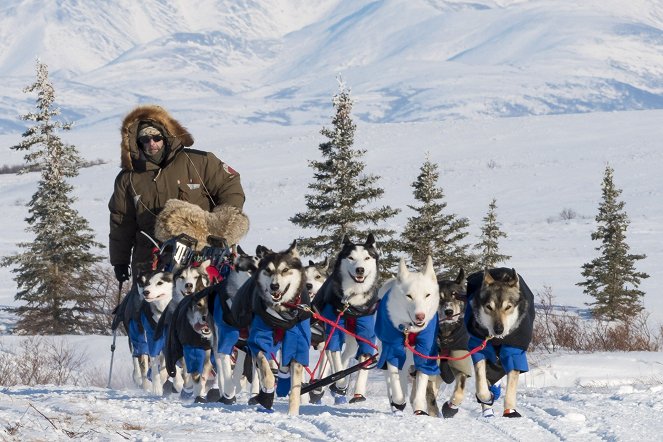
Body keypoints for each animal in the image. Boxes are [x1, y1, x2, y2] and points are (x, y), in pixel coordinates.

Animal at [316, 235, 382, 404]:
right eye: (351, 257)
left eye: (367, 257)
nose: (360, 269)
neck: (351, 302)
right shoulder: (333, 330)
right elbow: (336, 362)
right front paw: (340, 384)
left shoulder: (366, 334)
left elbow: (364, 361)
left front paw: (358, 393)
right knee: (333, 356)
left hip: (352, 339)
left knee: (346, 355)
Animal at [378, 256, 440, 414]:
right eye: (409, 296)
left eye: (427, 295)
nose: (420, 316)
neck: (409, 331)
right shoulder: (392, 351)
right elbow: (397, 388)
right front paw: (398, 402)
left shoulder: (425, 352)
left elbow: (421, 386)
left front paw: (419, 408)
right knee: (392, 383)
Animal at [466, 266, 536, 418]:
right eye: (489, 307)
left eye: (508, 307)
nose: (498, 329)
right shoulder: (480, 348)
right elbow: (482, 386)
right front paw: (487, 398)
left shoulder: (514, 351)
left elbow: (510, 387)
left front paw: (510, 410)